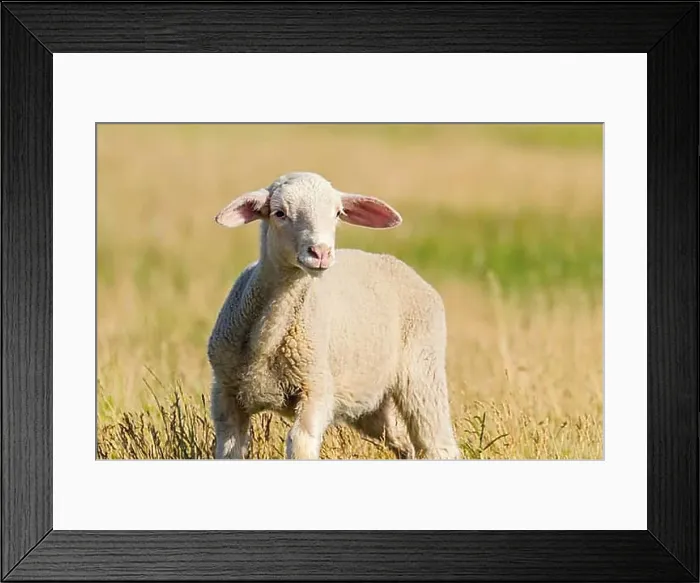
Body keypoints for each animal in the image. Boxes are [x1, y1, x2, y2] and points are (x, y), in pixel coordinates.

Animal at [207, 171, 462, 460]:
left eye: (338, 213)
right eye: (279, 213)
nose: (320, 252)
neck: (266, 341)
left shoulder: (316, 387)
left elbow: (301, 442)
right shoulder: (224, 393)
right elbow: (229, 449)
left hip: (423, 370)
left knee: (438, 443)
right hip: (369, 400)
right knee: (402, 441)